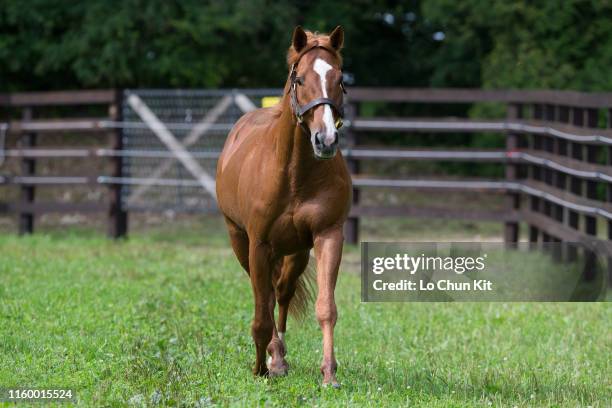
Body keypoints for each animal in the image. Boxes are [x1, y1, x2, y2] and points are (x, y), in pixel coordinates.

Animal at [215, 26, 350, 386]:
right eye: (299, 79)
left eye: (339, 78)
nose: (325, 140)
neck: (294, 175)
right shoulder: (258, 244)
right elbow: (262, 313)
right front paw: (261, 368)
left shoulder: (328, 235)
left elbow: (326, 308)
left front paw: (329, 374)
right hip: (240, 242)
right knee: (267, 295)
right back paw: (273, 358)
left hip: (296, 253)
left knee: (283, 291)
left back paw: (280, 355)